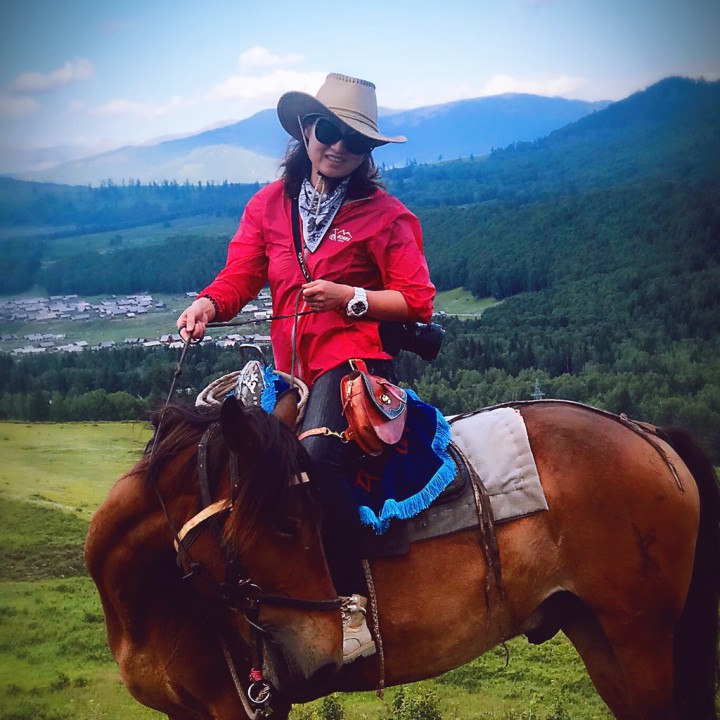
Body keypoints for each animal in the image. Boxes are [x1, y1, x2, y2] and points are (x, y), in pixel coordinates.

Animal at [85, 396, 720, 720]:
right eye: (287, 523)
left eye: (315, 519)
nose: (321, 658)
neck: (149, 600)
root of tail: (648, 434)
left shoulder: (241, 708)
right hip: (596, 631)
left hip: (641, 637)